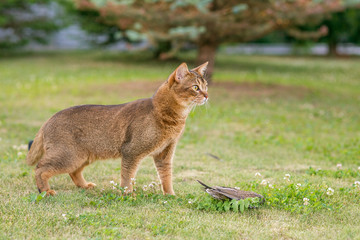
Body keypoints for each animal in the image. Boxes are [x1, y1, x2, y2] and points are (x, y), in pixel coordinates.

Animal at [26, 62, 208, 196]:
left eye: (205, 86)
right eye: (195, 88)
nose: (207, 96)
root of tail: (48, 120)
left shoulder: (164, 154)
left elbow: (167, 177)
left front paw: (170, 195)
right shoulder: (131, 151)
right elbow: (128, 177)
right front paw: (128, 194)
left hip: (83, 156)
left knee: (73, 172)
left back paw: (84, 186)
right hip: (69, 156)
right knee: (40, 168)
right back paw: (45, 191)